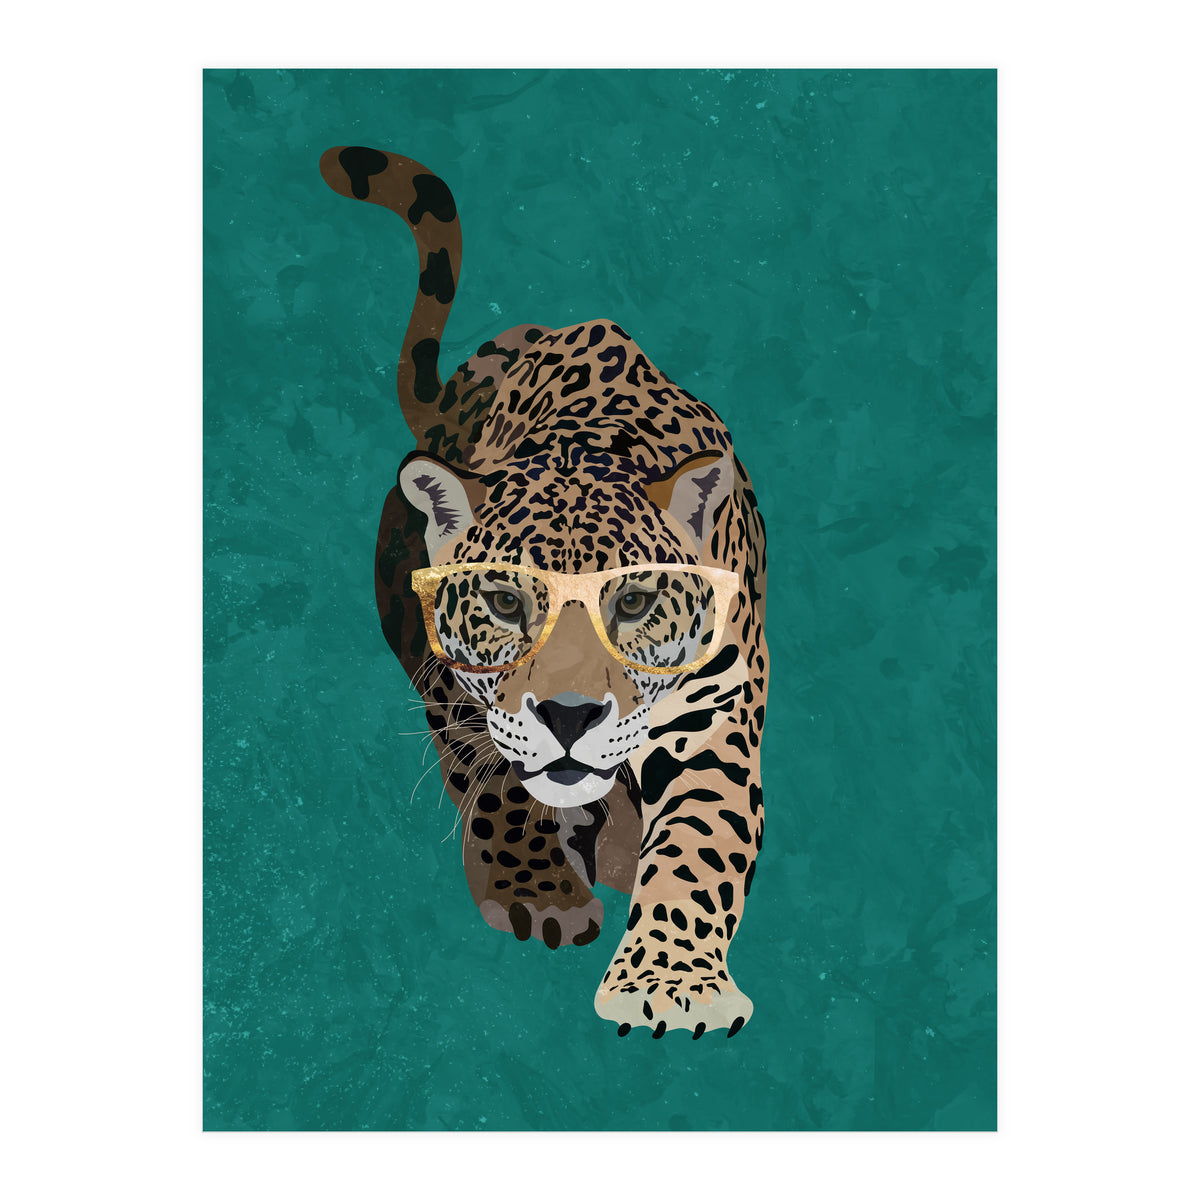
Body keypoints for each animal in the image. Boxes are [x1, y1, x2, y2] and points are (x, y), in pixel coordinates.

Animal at [318, 145, 769, 1038]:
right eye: (503, 602)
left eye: (631, 603)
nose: (568, 717)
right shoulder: (459, 687)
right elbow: (497, 780)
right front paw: (538, 891)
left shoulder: (714, 714)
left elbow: (700, 843)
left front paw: (670, 983)